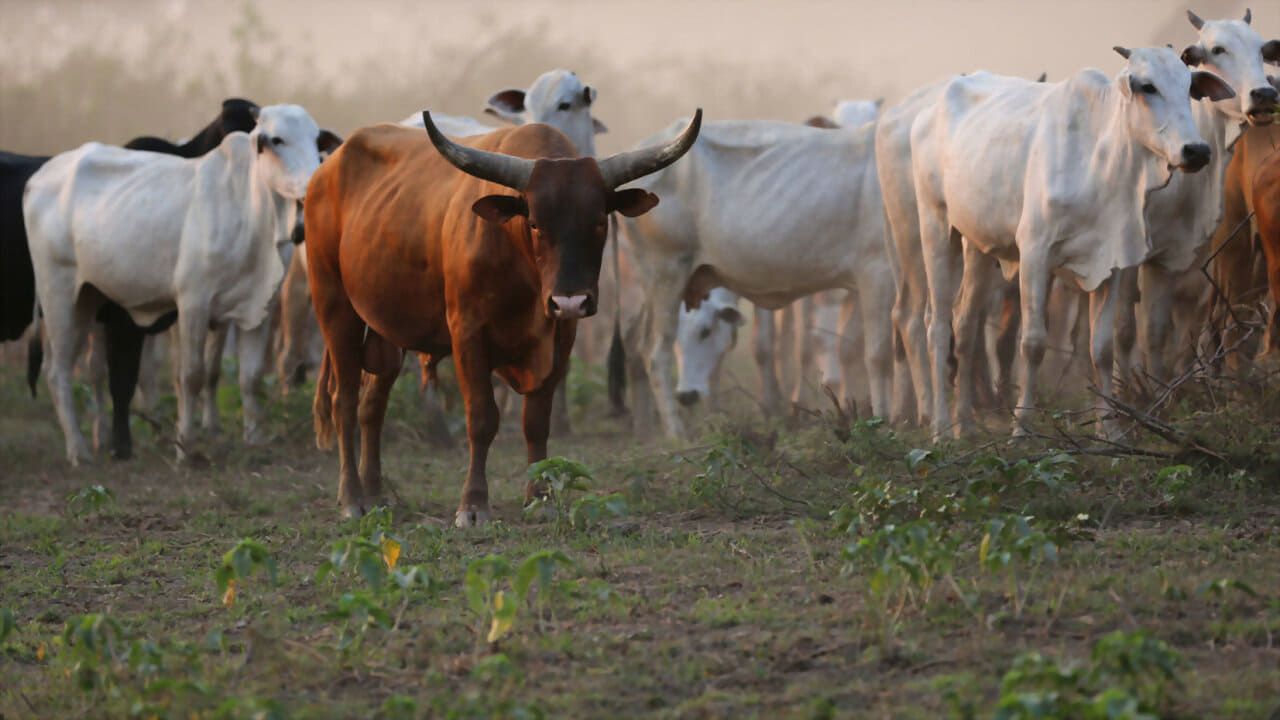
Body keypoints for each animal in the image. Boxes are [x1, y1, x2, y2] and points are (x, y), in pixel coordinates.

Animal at [26, 103, 330, 461]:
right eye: (278, 140)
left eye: (316, 140)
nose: (315, 184)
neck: (251, 211)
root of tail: (40, 176)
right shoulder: (193, 305)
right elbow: (191, 377)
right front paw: (185, 447)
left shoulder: (260, 309)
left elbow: (251, 377)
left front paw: (255, 438)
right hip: (58, 295)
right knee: (58, 371)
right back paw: (79, 451)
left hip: (89, 298)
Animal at [303, 109, 701, 520]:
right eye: (535, 223)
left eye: (599, 222)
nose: (570, 301)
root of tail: (327, 169)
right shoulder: (467, 334)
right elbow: (482, 418)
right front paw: (473, 504)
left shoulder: (561, 339)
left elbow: (536, 422)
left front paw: (540, 497)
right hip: (334, 307)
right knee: (344, 401)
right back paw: (352, 498)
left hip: (387, 328)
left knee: (372, 405)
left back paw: (375, 493)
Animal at [624, 117, 896, 438]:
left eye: (705, 332)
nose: (688, 395)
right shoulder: (877, 275)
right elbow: (880, 355)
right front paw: (886, 421)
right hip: (666, 271)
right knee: (655, 354)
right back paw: (677, 434)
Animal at [911, 47, 1228, 438]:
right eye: (1148, 87)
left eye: (1188, 88)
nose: (1196, 150)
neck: (1101, 161)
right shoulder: (1034, 252)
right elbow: (1033, 343)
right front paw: (1022, 428)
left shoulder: (1113, 263)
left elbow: (1102, 348)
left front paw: (1110, 429)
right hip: (936, 225)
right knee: (938, 326)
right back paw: (941, 427)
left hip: (978, 244)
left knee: (965, 324)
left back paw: (965, 425)